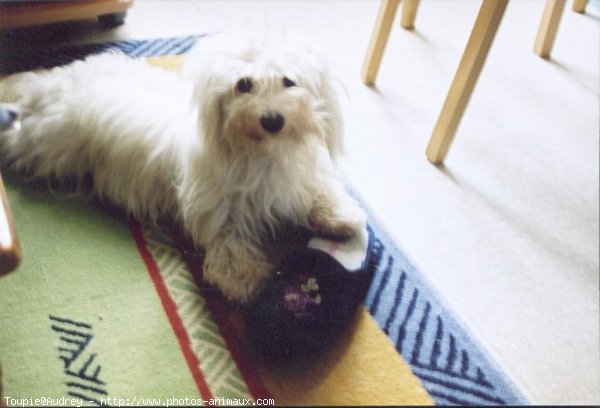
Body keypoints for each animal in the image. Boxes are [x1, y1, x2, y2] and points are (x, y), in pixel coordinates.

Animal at [0, 33, 366, 302]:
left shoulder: (296, 179)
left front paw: (340, 215)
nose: (272, 119)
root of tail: (50, 85)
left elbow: (317, 193)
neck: (263, 154)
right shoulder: (217, 206)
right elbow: (228, 240)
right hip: (48, 148)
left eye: (289, 81)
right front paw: (242, 278)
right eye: (243, 85)